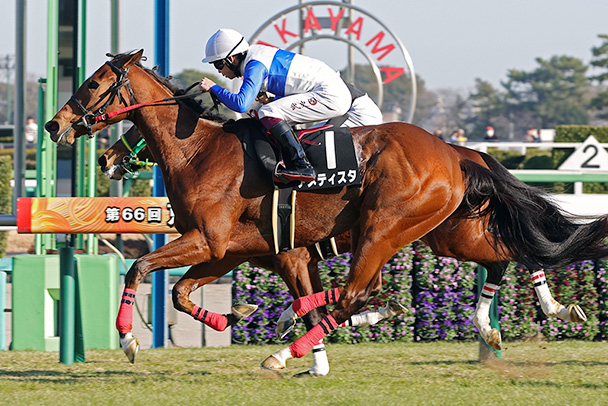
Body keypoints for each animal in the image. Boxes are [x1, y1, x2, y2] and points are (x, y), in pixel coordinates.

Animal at [46, 50, 606, 373]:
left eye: (94, 84)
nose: (56, 126)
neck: (199, 151)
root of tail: (454, 153)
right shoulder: (234, 251)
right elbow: (182, 294)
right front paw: (235, 317)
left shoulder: (218, 241)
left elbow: (140, 267)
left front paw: (128, 341)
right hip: (444, 231)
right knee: (501, 255)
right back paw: (506, 322)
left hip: (386, 227)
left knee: (360, 289)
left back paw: (285, 352)